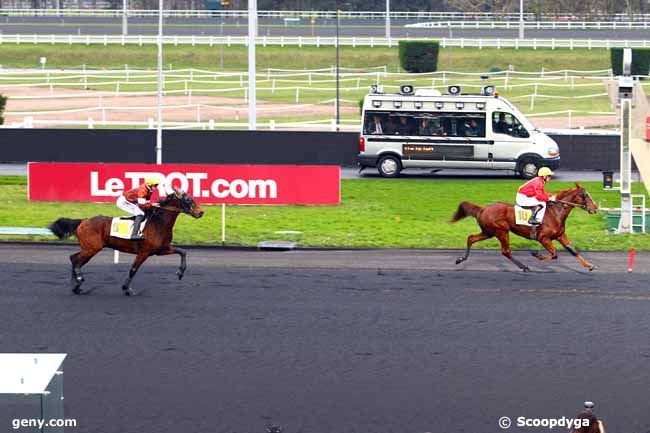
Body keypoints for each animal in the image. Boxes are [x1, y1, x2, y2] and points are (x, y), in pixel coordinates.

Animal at [49, 187, 202, 296]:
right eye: (188, 200)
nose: (201, 212)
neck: (159, 222)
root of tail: (83, 220)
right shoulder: (144, 252)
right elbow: (133, 270)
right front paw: (126, 289)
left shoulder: (160, 249)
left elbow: (183, 251)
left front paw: (180, 273)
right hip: (91, 248)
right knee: (76, 261)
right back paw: (79, 280)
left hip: (88, 248)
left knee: (74, 259)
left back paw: (76, 286)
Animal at [450, 184, 596, 272]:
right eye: (585, 195)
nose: (595, 208)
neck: (556, 212)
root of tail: (482, 209)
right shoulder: (543, 238)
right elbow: (554, 254)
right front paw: (536, 254)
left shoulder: (560, 236)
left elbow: (573, 250)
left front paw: (589, 265)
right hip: (501, 231)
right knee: (506, 251)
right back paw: (524, 266)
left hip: (488, 232)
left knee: (471, 238)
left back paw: (461, 259)